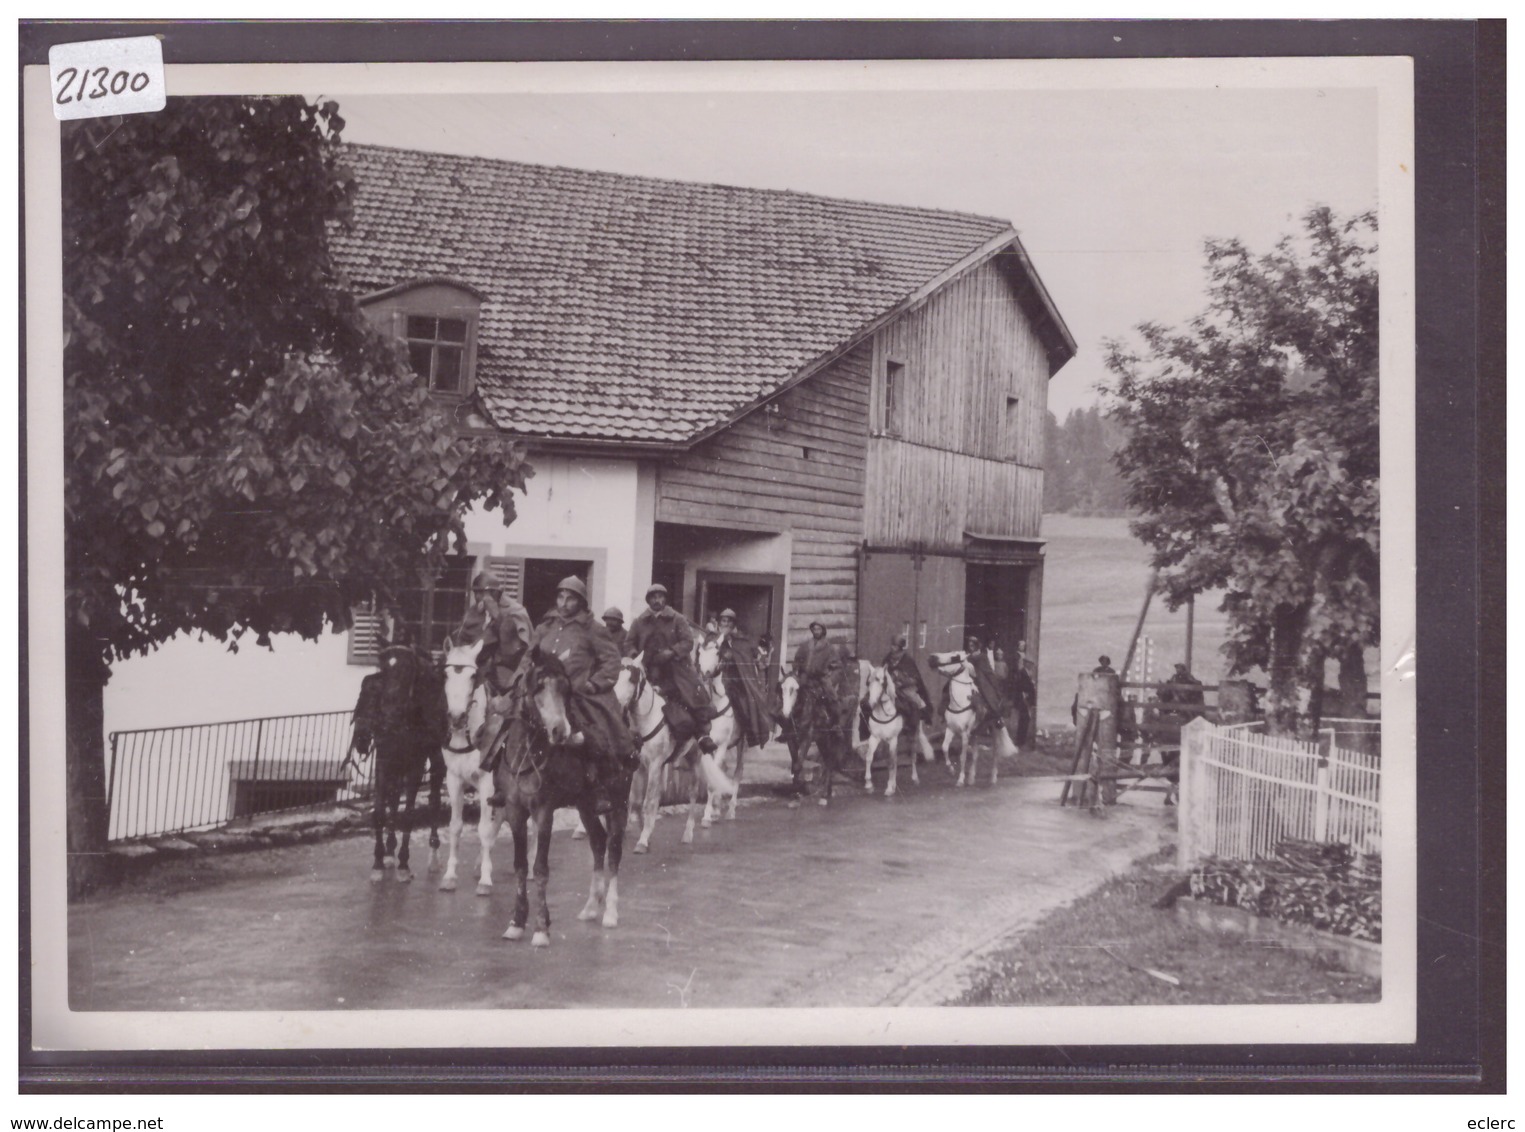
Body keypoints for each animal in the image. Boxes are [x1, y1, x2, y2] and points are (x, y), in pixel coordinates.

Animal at [439, 637, 509, 897]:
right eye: (446, 674)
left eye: (472, 676)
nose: (457, 717)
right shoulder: (454, 780)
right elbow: (456, 826)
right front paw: (450, 875)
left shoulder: (487, 783)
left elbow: (483, 829)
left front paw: (486, 881)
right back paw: (480, 863)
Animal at [491, 652, 628, 945]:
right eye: (538, 687)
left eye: (566, 689)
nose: (560, 731)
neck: (527, 754)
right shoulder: (515, 811)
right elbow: (520, 866)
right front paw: (517, 921)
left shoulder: (544, 811)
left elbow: (541, 868)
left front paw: (542, 927)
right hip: (586, 806)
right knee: (598, 843)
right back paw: (590, 907)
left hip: (619, 804)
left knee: (613, 850)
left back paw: (610, 912)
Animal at [610, 656, 735, 854]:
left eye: (631, 679)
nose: (615, 705)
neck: (646, 720)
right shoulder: (639, 766)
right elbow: (636, 801)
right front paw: (644, 832)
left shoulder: (654, 765)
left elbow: (648, 802)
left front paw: (643, 840)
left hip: (694, 763)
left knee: (693, 795)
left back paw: (688, 833)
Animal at [921, 656, 1018, 787]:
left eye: (954, 657)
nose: (932, 659)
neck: (959, 703)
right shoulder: (950, 729)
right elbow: (944, 747)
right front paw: (951, 770)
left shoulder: (964, 734)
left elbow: (963, 757)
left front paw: (960, 779)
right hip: (975, 734)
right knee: (976, 754)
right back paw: (971, 778)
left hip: (993, 730)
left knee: (995, 753)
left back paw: (993, 778)